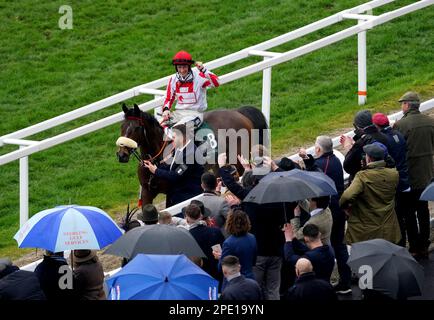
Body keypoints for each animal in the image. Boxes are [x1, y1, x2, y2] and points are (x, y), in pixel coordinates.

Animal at [117, 104, 270, 206]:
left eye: (136, 128)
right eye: (122, 126)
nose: (121, 154)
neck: (156, 158)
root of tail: (238, 112)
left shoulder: (173, 192)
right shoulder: (147, 191)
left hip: (237, 161)